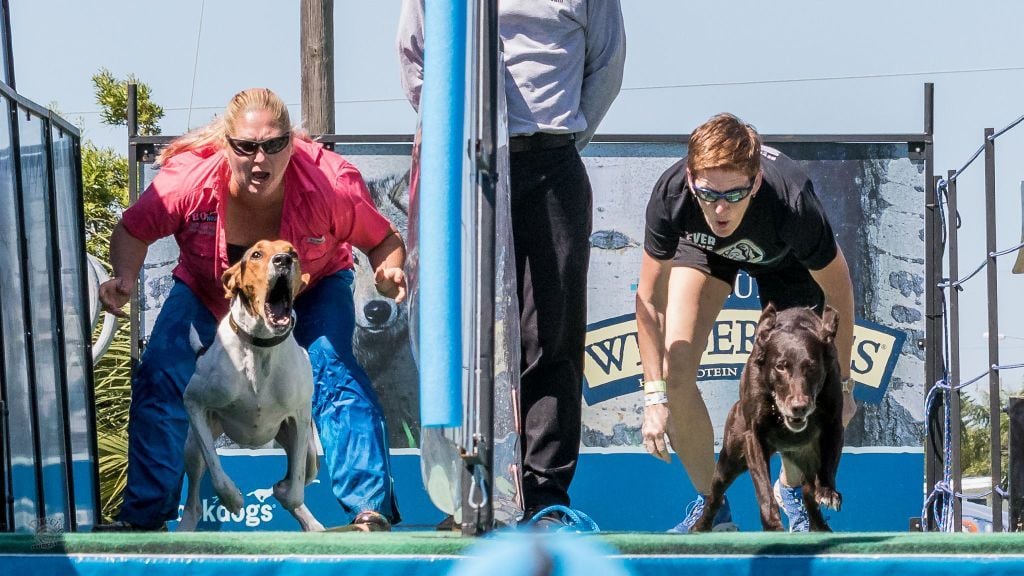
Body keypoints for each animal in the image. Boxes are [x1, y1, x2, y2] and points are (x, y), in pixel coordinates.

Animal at [175, 237, 319, 528]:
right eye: (256, 254)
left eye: (293, 252)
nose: (283, 260)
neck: (259, 347)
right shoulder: (193, 403)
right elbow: (216, 469)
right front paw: (233, 499)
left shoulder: (300, 415)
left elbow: (295, 491)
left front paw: (283, 490)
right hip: (192, 448)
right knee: (194, 502)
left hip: (309, 450)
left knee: (303, 474)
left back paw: (310, 521)